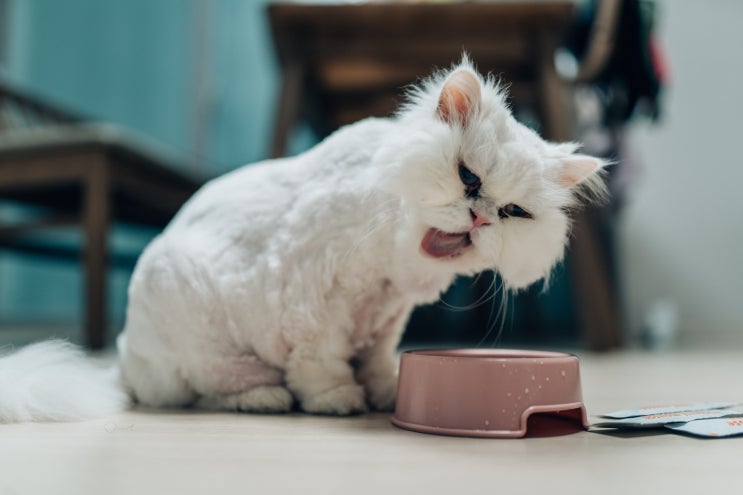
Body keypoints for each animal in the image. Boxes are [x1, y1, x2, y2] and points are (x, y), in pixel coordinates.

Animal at [0, 58, 604, 422]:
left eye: (512, 212)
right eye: (468, 178)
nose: (480, 219)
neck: (394, 272)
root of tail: (122, 366)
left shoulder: (386, 321)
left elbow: (377, 362)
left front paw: (385, 393)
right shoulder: (317, 300)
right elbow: (324, 363)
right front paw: (341, 402)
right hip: (203, 328)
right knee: (206, 389)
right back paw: (267, 399)